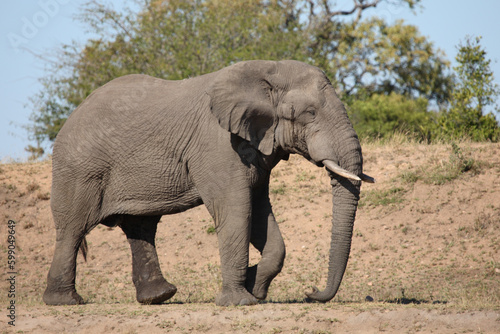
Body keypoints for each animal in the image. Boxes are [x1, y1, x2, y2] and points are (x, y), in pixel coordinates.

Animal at [43, 59, 374, 306]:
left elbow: (260, 212)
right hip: (80, 169)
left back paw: (159, 296)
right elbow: (236, 209)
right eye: (309, 113)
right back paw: (65, 302)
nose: (311, 292)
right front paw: (241, 301)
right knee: (73, 229)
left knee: (141, 227)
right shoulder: (216, 144)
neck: (267, 71)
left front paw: (255, 288)